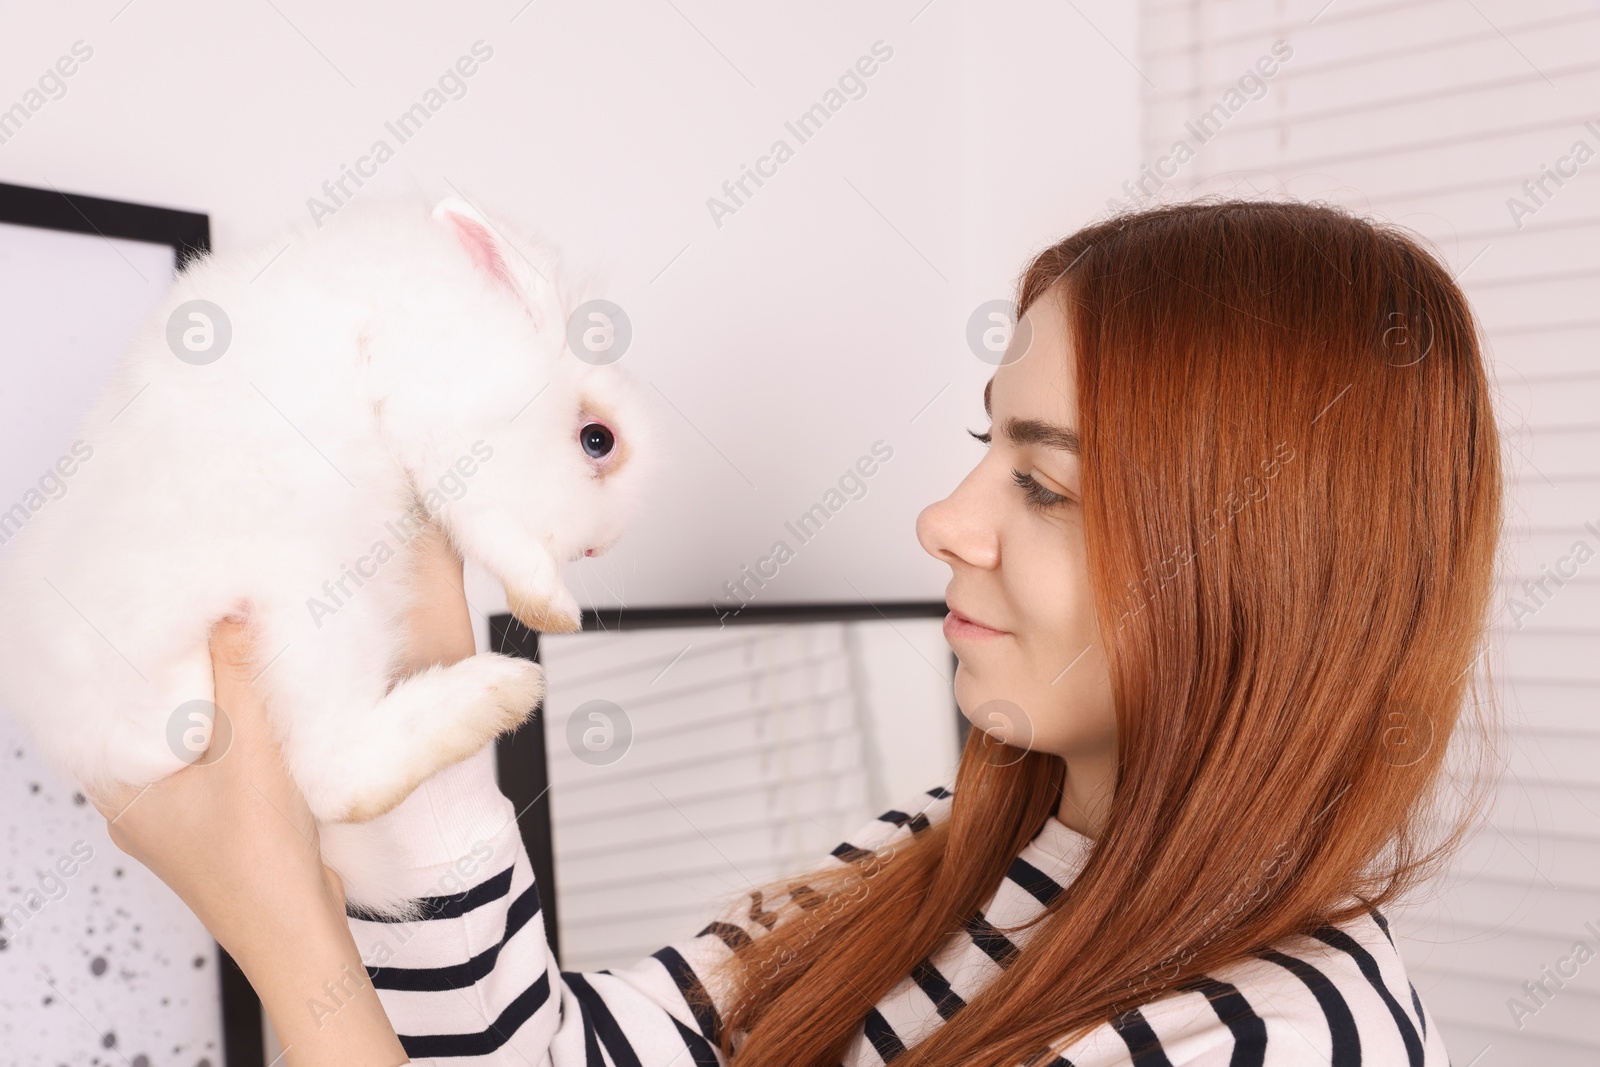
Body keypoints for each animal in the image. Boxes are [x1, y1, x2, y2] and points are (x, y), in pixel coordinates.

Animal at [0, 195, 656, 915]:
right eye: (597, 439)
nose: (595, 547)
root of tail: (106, 742)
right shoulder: (435, 427)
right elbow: (492, 526)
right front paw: (550, 606)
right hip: (319, 608)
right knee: (335, 775)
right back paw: (502, 690)